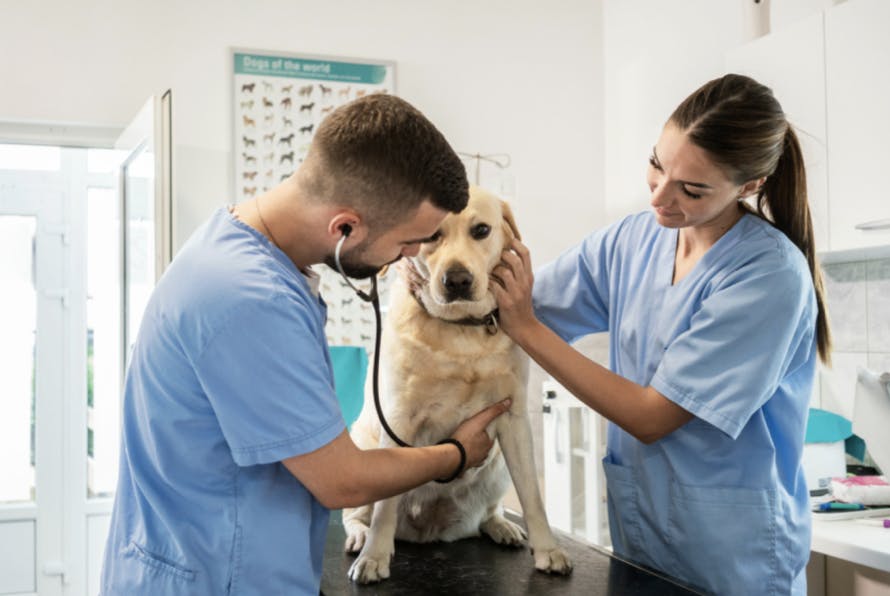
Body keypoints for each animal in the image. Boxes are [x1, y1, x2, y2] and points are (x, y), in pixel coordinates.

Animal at [340, 185, 568, 584]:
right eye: (431, 235)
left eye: (481, 230)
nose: (457, 280)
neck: (461, 331)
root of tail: (427, 531)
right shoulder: (398, 420)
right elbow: (384, 507)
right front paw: (375, 556)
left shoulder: (514, 420)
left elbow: (532, 496)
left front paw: (548, 549)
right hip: (363, 456)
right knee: (355, 515)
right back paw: (361, 536)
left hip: (498, 465)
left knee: (488, 513)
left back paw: (500, 526)